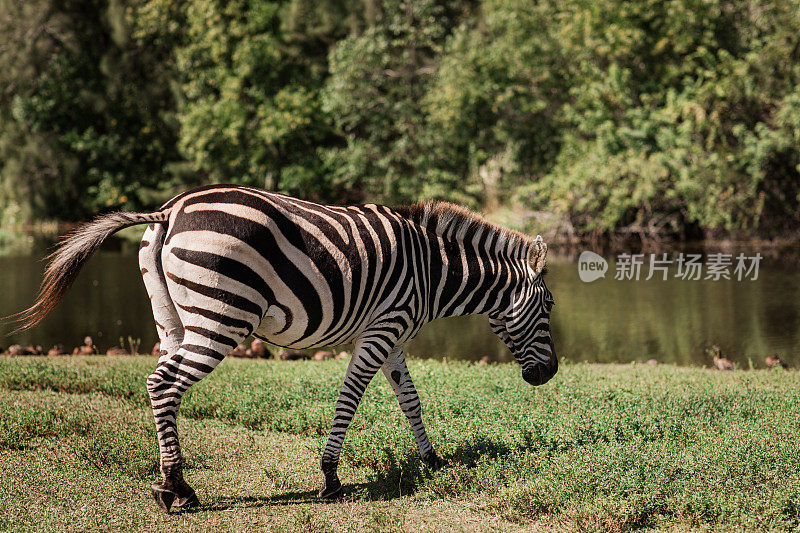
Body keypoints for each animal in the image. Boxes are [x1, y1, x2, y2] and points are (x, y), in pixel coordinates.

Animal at [10, 184, 556, 512]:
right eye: (549, 305)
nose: (548, 374)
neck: (431, 270)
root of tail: (170, 209)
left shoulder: (391, 334)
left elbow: (409, 399)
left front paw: (432, 459)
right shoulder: (383, 329)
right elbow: (351, 398)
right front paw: (331, 478)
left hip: (174, 322)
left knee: (161, 384)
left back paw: (172, 483)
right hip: (221, 316)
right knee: (163, 383)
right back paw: (176, 487)